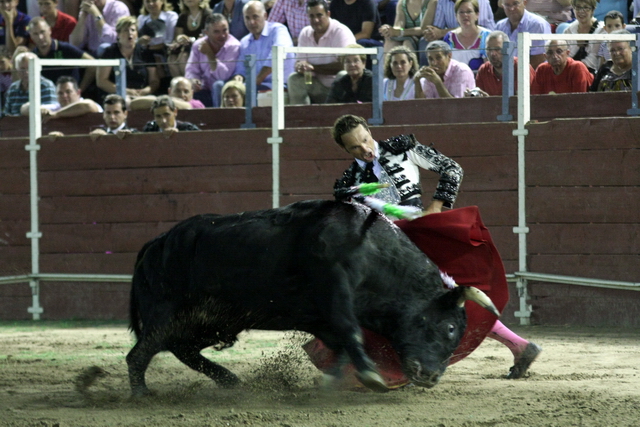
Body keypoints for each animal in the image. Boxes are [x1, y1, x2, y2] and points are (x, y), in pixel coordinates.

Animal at [126, 201, 500, 398]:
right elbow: (351, 332)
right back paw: (141, 394)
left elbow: (342, 344)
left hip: (213, 322)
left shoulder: (321, 318)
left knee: (181, 348)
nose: (431, 377)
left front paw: (334, 380)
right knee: (140, 353)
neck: (374, 252)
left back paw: (229, 380)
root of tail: (156, 242)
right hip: (167, 313)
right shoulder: (335, 287)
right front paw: (371, 376)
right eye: (450, 328)